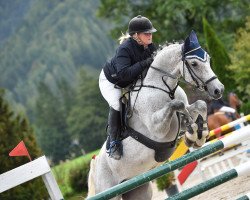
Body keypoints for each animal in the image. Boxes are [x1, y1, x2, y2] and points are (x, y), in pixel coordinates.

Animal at [87, 30, 224, 199]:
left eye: (208, 60)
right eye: (194, 64)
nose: (218, 90)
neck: (163, 88)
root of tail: (94, 166)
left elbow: (200, 105)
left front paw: (199, 135)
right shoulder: (157, 129)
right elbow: (177, 105)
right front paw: (191, 133)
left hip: (138, 188)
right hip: (110, 191)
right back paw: (115, 150)